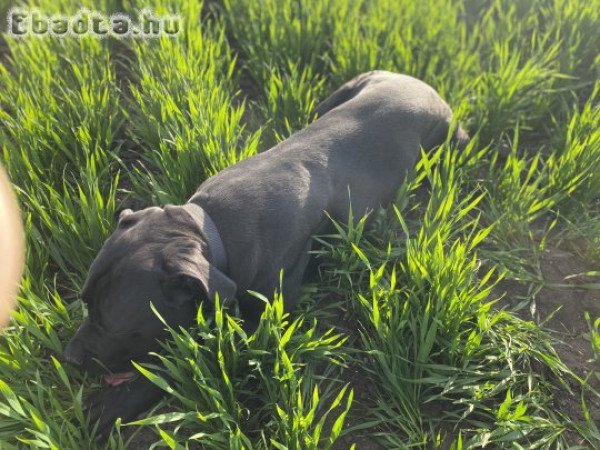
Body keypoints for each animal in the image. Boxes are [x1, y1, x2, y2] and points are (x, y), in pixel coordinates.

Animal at [64, 71, 468, 440]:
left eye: (114, 326)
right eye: (84, 302)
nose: (68, 358)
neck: (212, 231)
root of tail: (424, 85)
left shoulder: (261, 320)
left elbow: (181, 357)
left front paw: (116, 404)